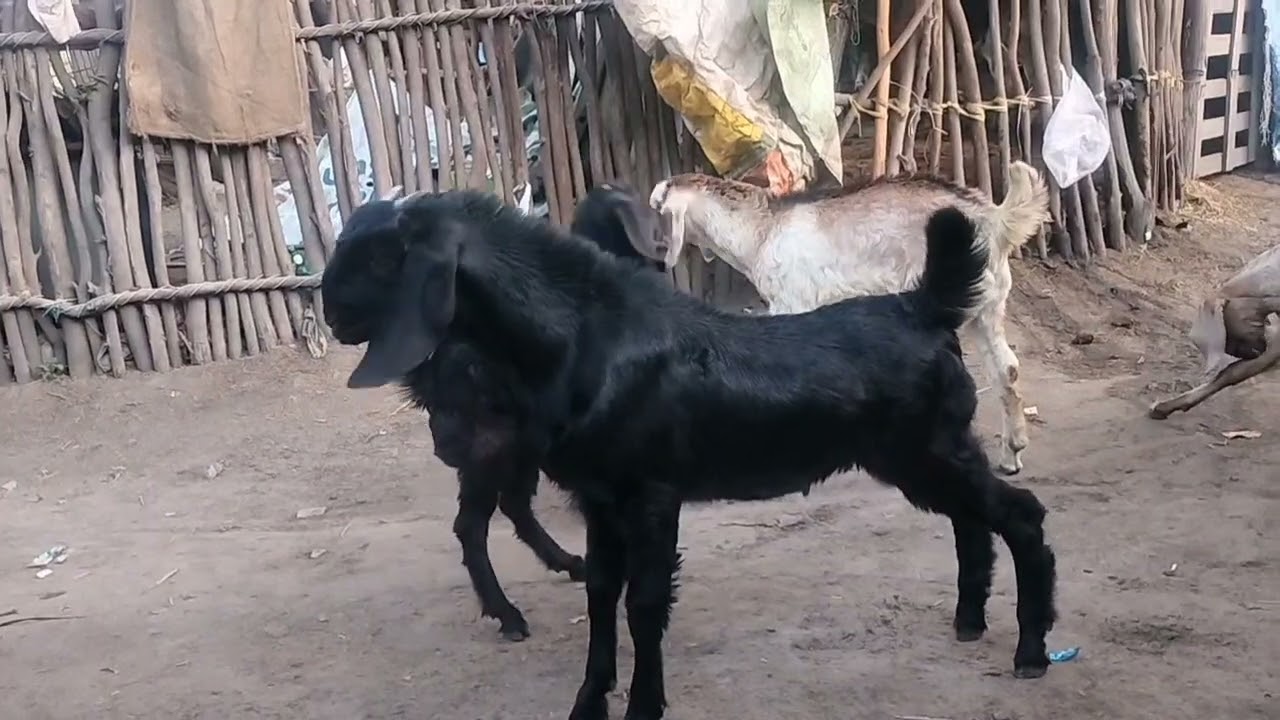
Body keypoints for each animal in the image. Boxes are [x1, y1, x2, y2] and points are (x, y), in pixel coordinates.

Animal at [350, 184, 666, 642]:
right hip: (488, 448)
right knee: (472, 525)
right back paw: (508, 614)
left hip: (516, 448)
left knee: (513, 505)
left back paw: (567, 564)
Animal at [647, 161, 1051, 476]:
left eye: (658, 207)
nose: (653, 246)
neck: (762, 231)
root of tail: (993, 218)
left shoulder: (792, 302)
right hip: (985, 306)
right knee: (1006, 368)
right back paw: (1012, 452)